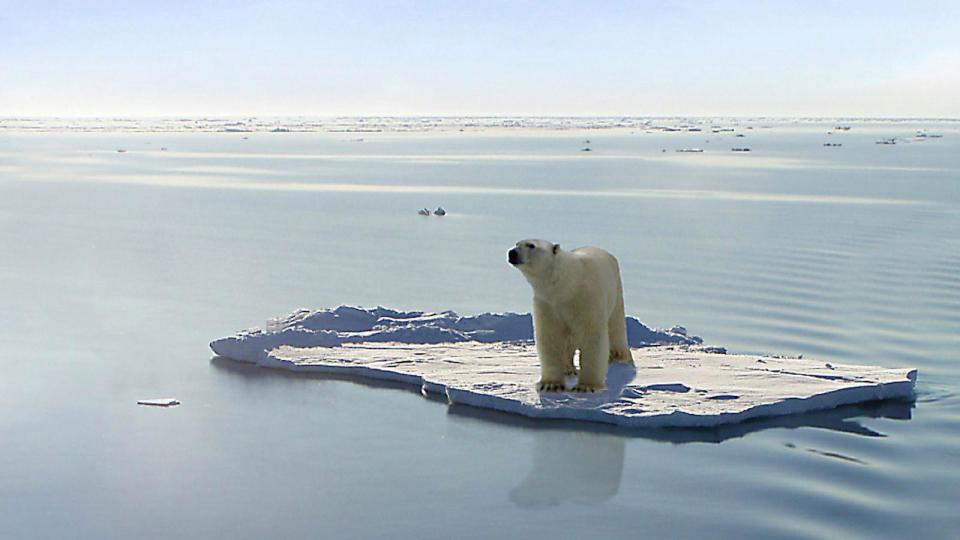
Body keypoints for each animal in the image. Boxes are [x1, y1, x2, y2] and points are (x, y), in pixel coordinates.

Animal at [506, 240, 632, 392]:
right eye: (516, 244)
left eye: (531, 245)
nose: (512, 253)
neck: (567, 286)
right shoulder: (548, 304)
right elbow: (551, 337)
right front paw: (551, 384)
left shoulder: (587, 299)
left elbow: (591, 337)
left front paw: (586, 386)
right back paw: (568, 369)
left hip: (616, 291)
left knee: (616, 326)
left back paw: (619, 357)